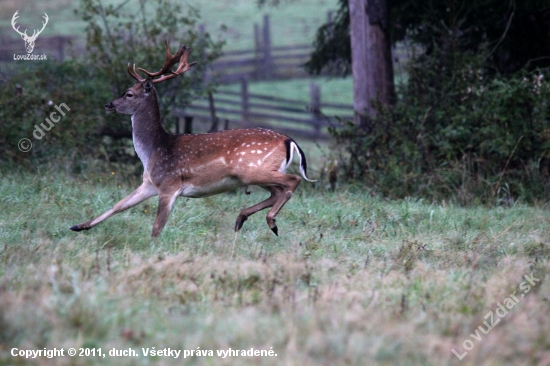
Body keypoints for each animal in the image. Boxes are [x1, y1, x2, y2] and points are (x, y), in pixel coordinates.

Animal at [70, 40, 314, 237]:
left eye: (129, 93)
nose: (108, 105)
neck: (153, 150)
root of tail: (290, 141)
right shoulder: (149, 183)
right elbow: (119, 205)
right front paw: (78, 226)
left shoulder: (169, 184)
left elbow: (157, 226)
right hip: (256, 174)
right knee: (277, 190)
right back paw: (241, 219)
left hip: (252, 169)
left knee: (293, 181)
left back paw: (271, 221)